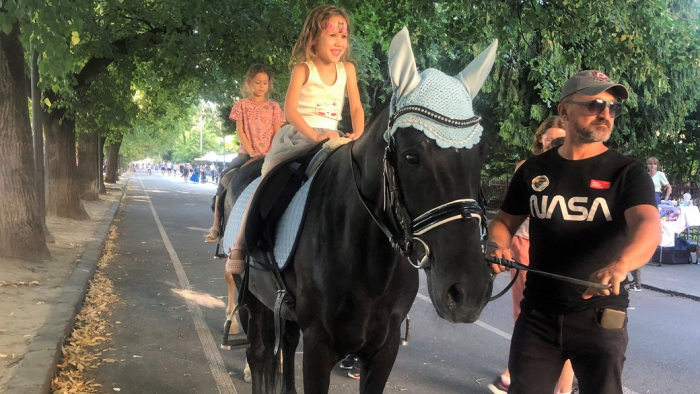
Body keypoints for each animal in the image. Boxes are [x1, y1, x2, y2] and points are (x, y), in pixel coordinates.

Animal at [221, 29, 500, 392]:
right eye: (411, 156)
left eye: (481, 153)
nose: (468, 292)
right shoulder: (319, 345)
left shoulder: (384, 349)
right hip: (254, 299)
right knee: (258, 356)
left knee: (283, 352)